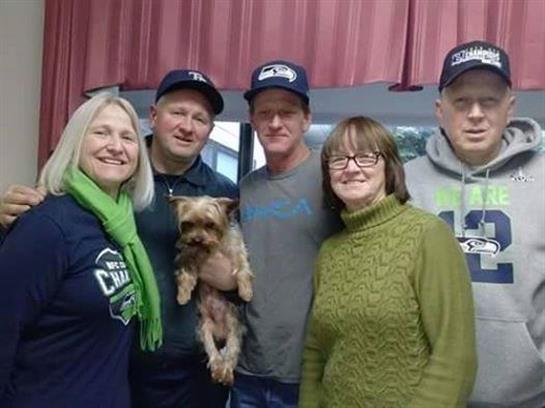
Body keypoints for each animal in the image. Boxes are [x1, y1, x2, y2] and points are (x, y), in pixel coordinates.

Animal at [169, 195, 253, 386]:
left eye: (210, 224)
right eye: (188, 224)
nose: (196, 240)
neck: (211, 247)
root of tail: (220, 332)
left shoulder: (236, 248)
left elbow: (242, 267)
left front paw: (245, 291)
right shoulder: (188, 254)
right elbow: (186, 274)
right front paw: (183, 295)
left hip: (234, 326)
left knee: (231, 351)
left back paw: (226, 372)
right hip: (204, 328)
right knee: (213, 351)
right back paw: (218, 369)